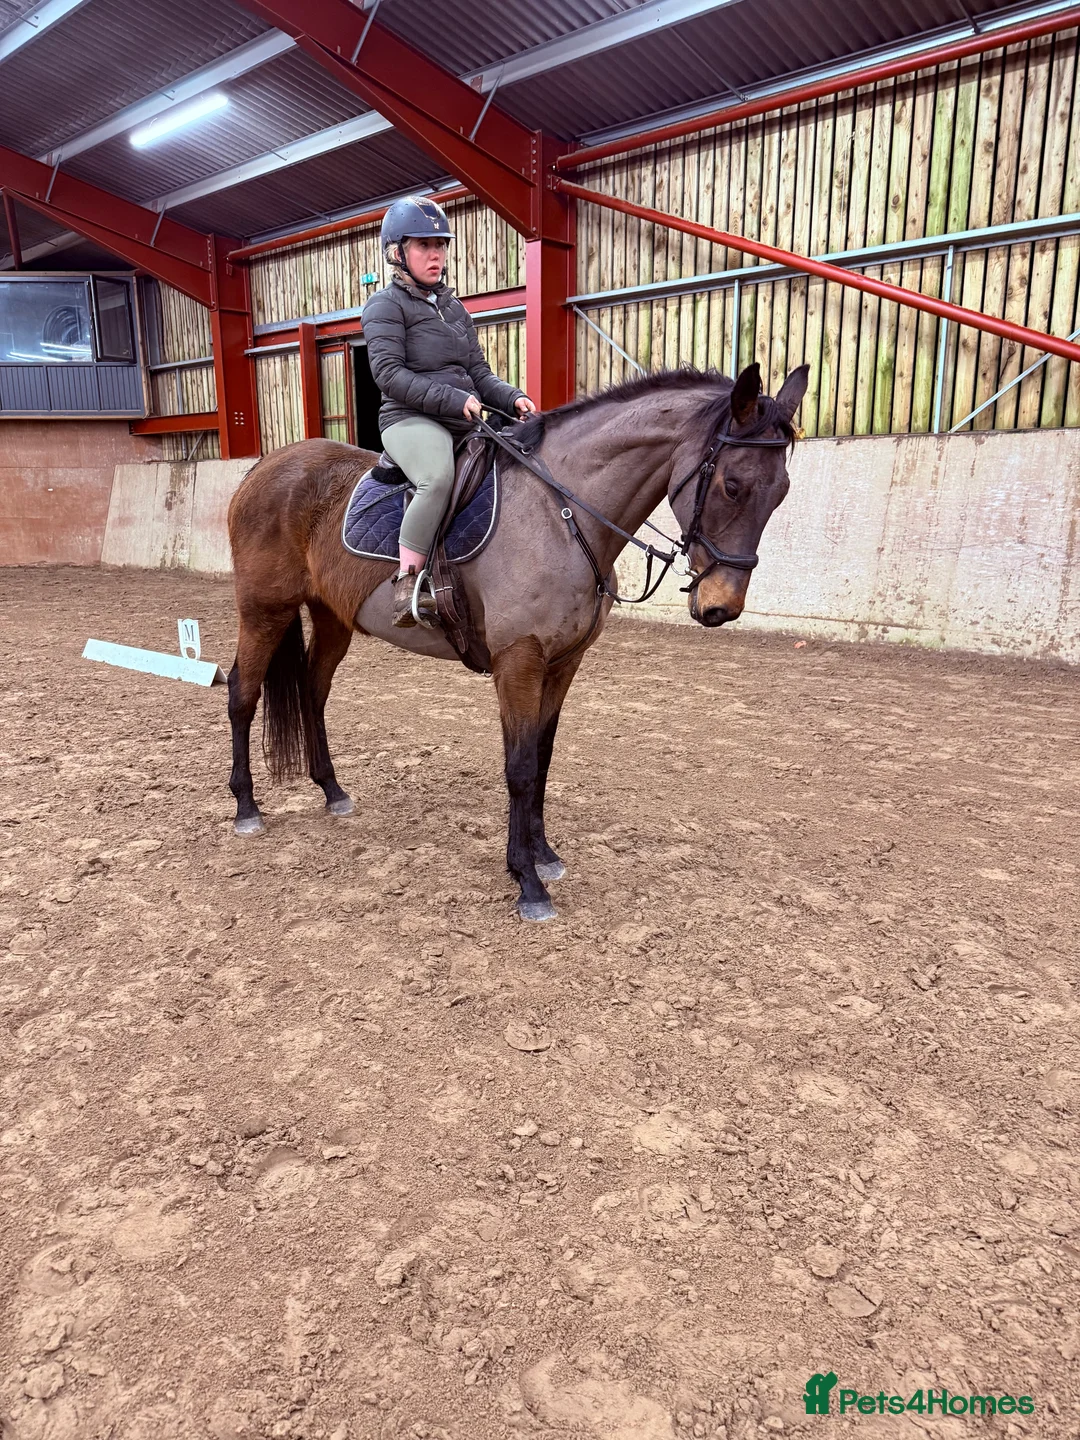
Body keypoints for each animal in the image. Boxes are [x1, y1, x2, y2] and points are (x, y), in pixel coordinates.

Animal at [225, 360, 809, 921]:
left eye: (781, 492)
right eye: (732, 485)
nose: (721, 606)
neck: (562, 515)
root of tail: (263, 467)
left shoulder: (562, 663)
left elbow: (542, 759)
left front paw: (541, 856)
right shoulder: (519, 661)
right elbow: (520, 767)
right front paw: (528, 884)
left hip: (332, 617)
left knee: (313, 691)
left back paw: (332, 791)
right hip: (264, 610)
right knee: (242, 693)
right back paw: (247, 808)